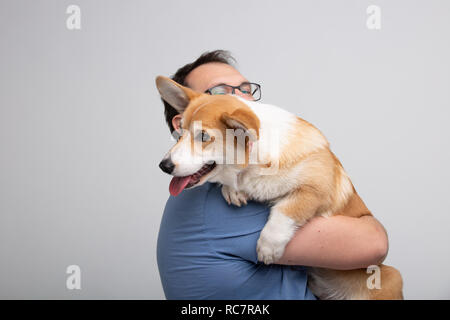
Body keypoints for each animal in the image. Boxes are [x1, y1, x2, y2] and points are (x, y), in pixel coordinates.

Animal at [156, 75, 402, 300]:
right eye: (180, 134)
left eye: (203, 136)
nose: (163, 166)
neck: (256, 163)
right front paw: (233, 190)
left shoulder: (316, 188)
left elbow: (286, 210)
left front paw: (268, 247)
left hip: (392, 276)